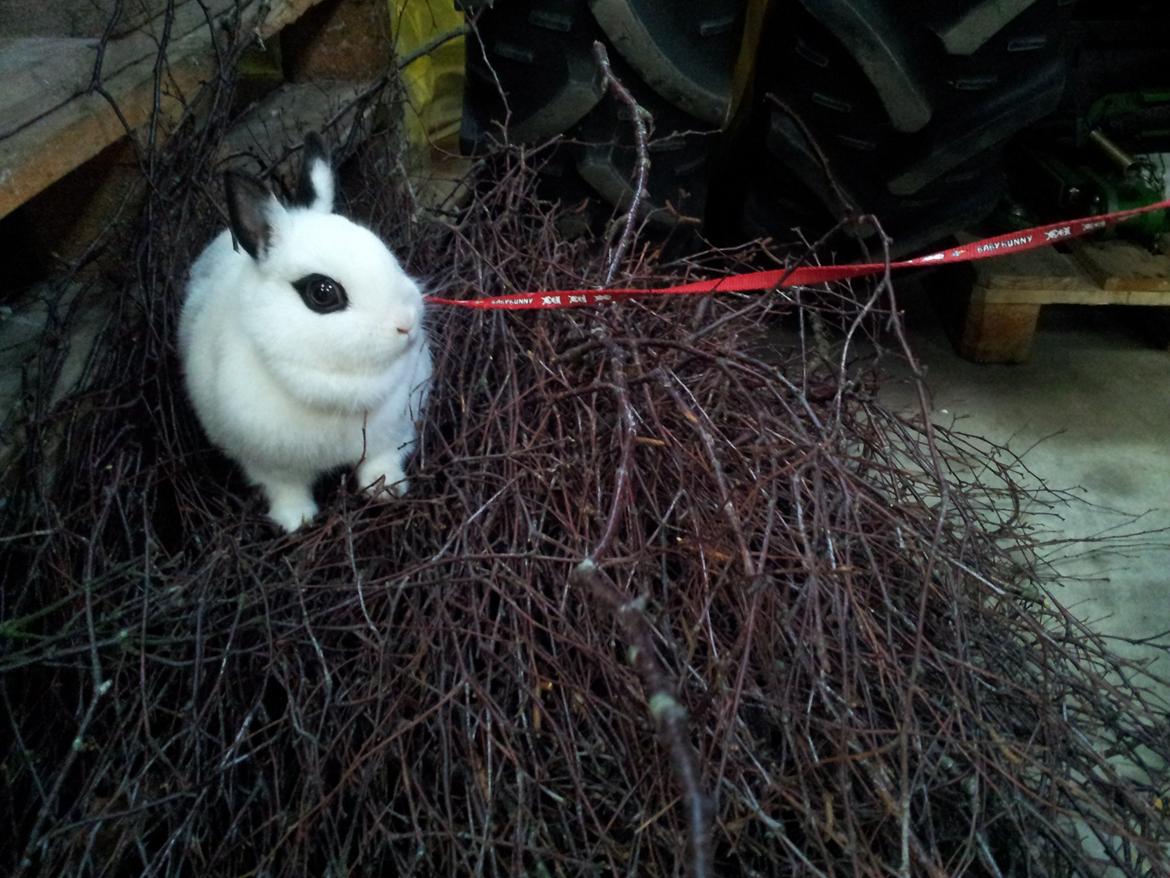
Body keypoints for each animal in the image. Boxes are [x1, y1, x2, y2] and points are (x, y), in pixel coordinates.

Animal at [180, 134, 437, 533]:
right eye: (322, 292)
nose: (406, 323)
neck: (338, 386)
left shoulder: (394, 432)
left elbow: (380, 462)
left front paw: (387, 490)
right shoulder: (267, 464)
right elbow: (285, 489)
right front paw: (296, 521)